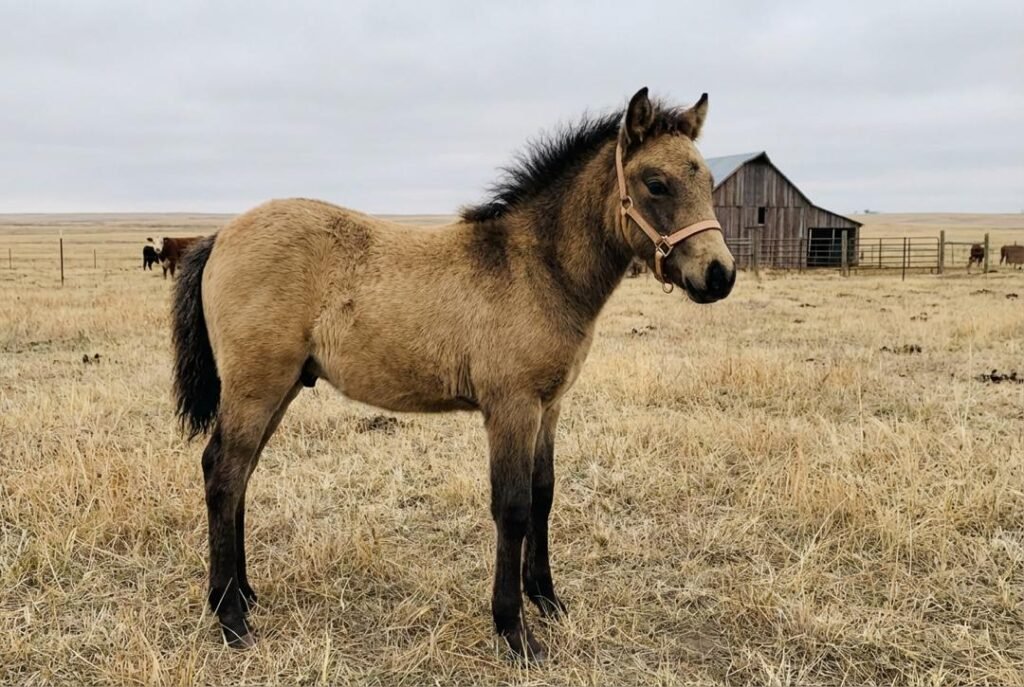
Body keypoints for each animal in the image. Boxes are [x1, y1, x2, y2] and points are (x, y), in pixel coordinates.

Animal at [171, 87, 736, 659]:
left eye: (708, 181)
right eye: (656, 183)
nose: (720, 275)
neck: (535, 268)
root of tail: (219, 236)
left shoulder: (549, 406)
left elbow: (543, 495)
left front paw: (547, 600)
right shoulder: (511, 407)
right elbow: (512, 507)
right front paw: (514, 630)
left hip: (281, 387)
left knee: (239, 473)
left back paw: (244, 593)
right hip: (257, 386)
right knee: (224, 473)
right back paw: (230, 616)